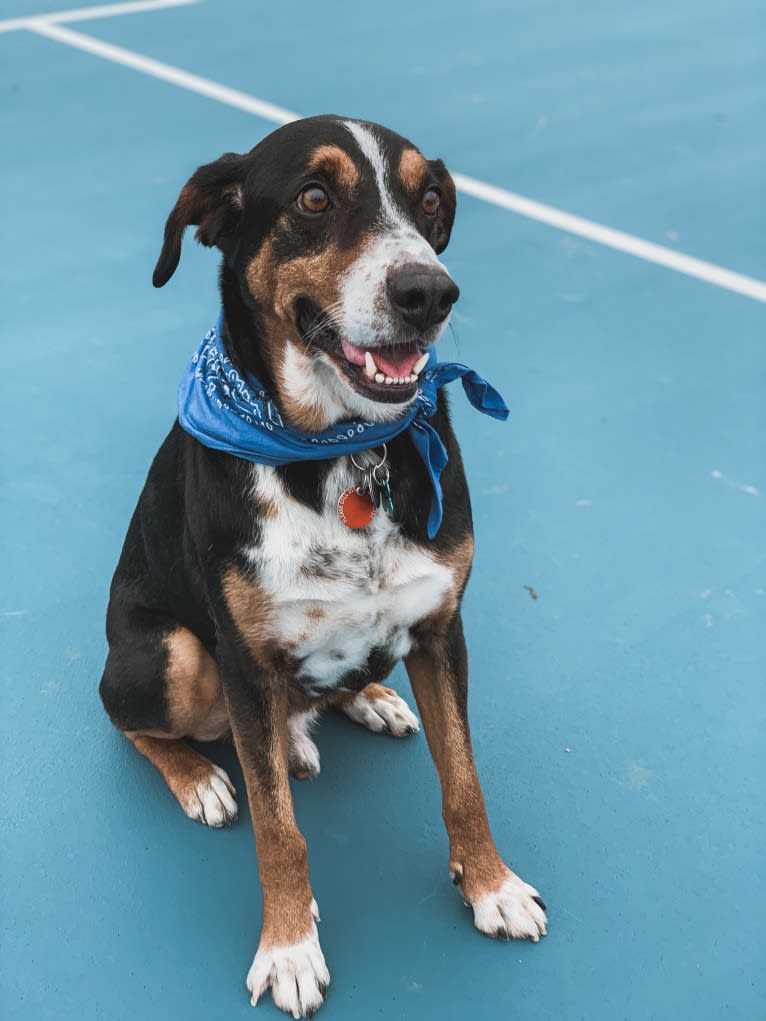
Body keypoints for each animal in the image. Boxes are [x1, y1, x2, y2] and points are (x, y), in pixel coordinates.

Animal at [99, 115, 547, 1016]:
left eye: (430, 200)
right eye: (313, 198)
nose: (428, 292)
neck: (341, 451)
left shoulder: (442, 627)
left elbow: (464, 780)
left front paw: (490, 884)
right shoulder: (239, 659)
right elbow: (280, 833)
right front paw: (288, 945)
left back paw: (360, 701)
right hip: (173, 653)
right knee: (132, 722)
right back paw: (199, 775)